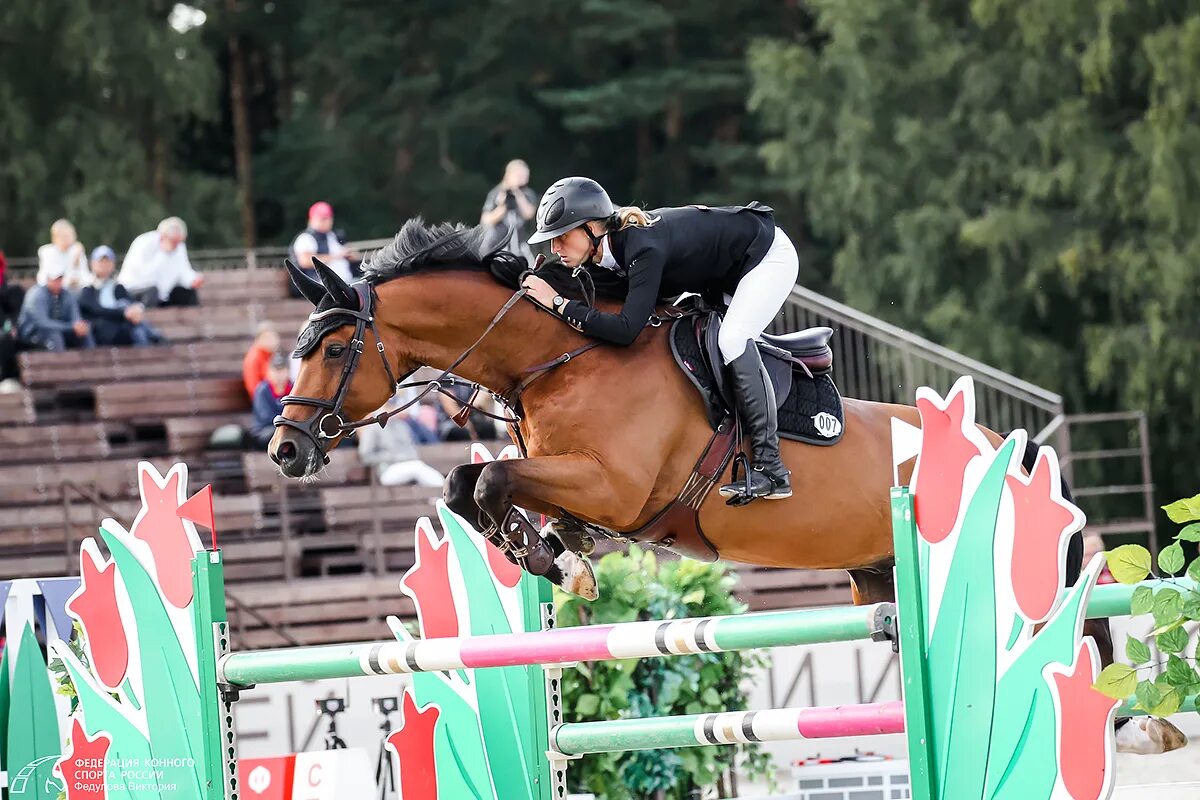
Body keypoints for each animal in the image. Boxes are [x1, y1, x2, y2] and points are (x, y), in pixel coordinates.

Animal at [270, 220, 1180, 758]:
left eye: (335, 346)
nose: (283, 449)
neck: (557, 357)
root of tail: (1013, 449)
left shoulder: (615, 485)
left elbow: (486, 475)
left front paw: (560, 564)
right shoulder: (573, 482)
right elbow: (472, 484)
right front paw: (556, 556)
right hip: (877, 576)